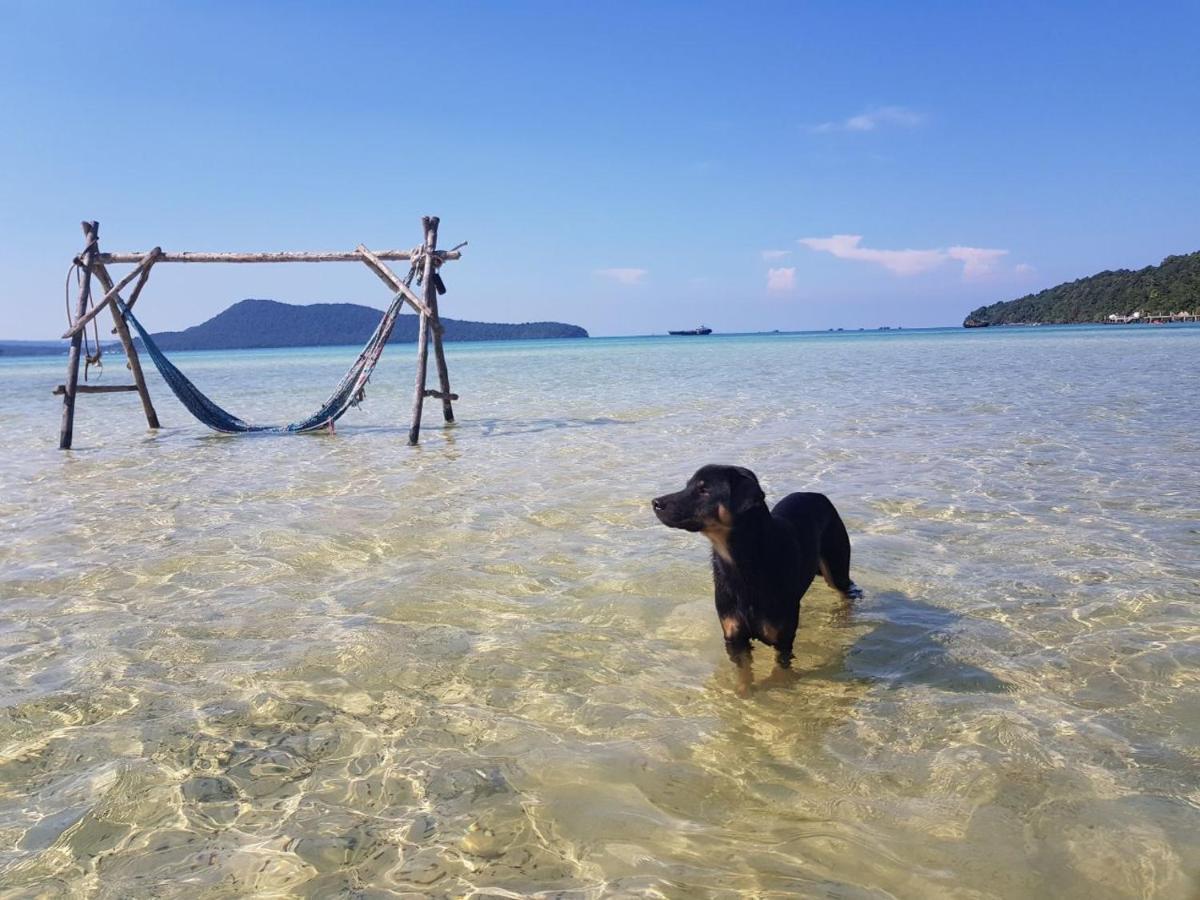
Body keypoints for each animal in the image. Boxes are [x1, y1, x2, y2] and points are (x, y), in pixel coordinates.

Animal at [652, 465, 859, 696]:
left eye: (704, 490)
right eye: (688, 485)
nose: (655, 502)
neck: (742, 563)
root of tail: (817, 495)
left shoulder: (783, 637)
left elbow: (781, 663)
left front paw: (780, 684)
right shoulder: (734, 636)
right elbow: (743, 669)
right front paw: (743, 692)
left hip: (836, 566)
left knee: (846, 592)